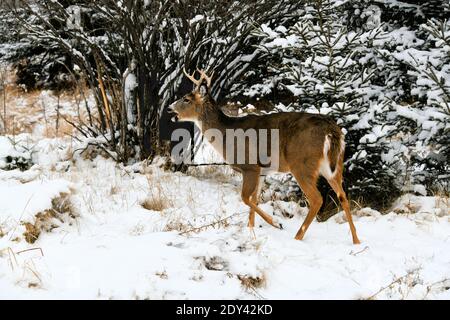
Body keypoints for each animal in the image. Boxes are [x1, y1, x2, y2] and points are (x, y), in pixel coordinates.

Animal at [169, 69, 362, 245]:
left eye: (186, 99)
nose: (170, 107)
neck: (226, 134)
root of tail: (331, 130)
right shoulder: (262, 171)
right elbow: (254, 199)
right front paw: (251, 230)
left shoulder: (250, 166)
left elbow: (245, 198)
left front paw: (276, 223)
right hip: (335, 165)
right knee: (343, 196)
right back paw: (356, 240)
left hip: (302, 164)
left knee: (317, 199)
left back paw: (297, 237)